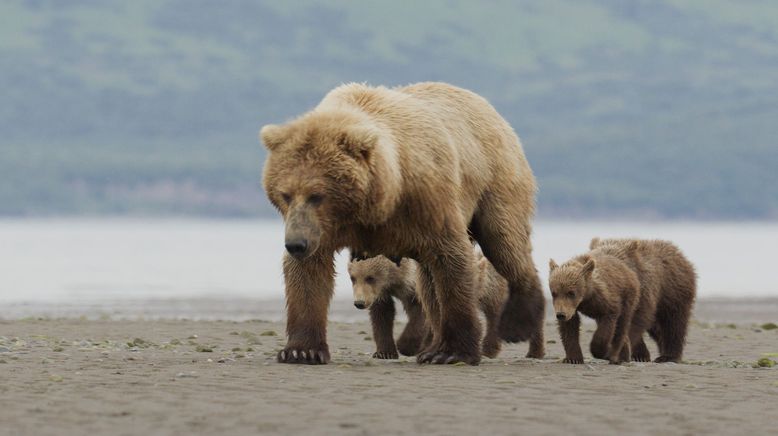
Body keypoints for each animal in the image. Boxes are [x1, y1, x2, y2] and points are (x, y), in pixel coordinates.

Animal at [258, 82, 544, 364]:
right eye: (285, 194)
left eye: (317, 195)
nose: (296, 244)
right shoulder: (323, 229)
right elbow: (308, 276)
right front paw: (301, 350)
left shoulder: (426, 199)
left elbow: (453, 261)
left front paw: (452, 351)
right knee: (430, 285)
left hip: (495, 182)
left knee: (504, 243)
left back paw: (517, 323)